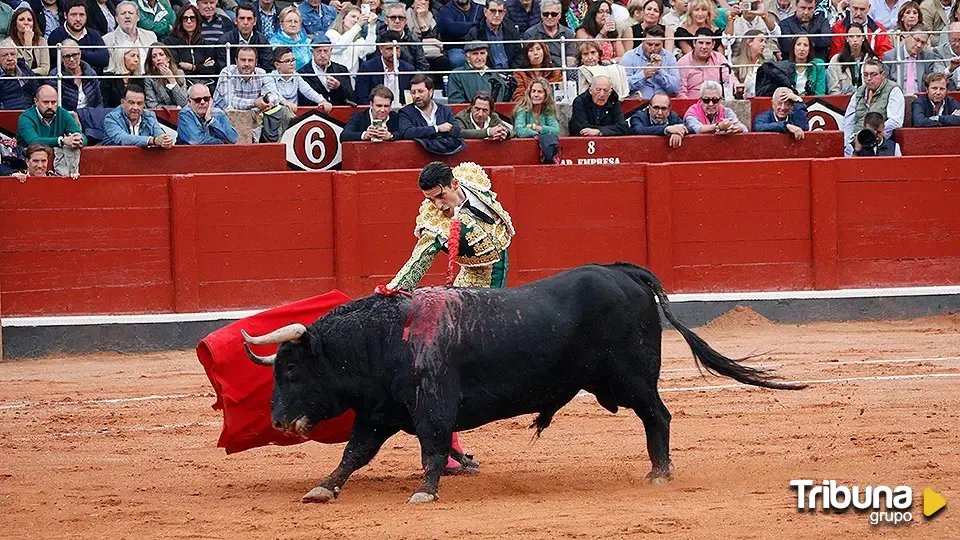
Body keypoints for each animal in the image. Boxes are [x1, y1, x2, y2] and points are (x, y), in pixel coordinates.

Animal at [244, 264, 808, 504]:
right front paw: (324, 488)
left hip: (632, 379)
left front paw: (425, 492)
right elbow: (353, 454)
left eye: (291, 370)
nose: (278, 420)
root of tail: (623, 273)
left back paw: (660, 474)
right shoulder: (380, 412)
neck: (385, 339)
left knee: (659, 416)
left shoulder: (432, 408)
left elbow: (431, 448)